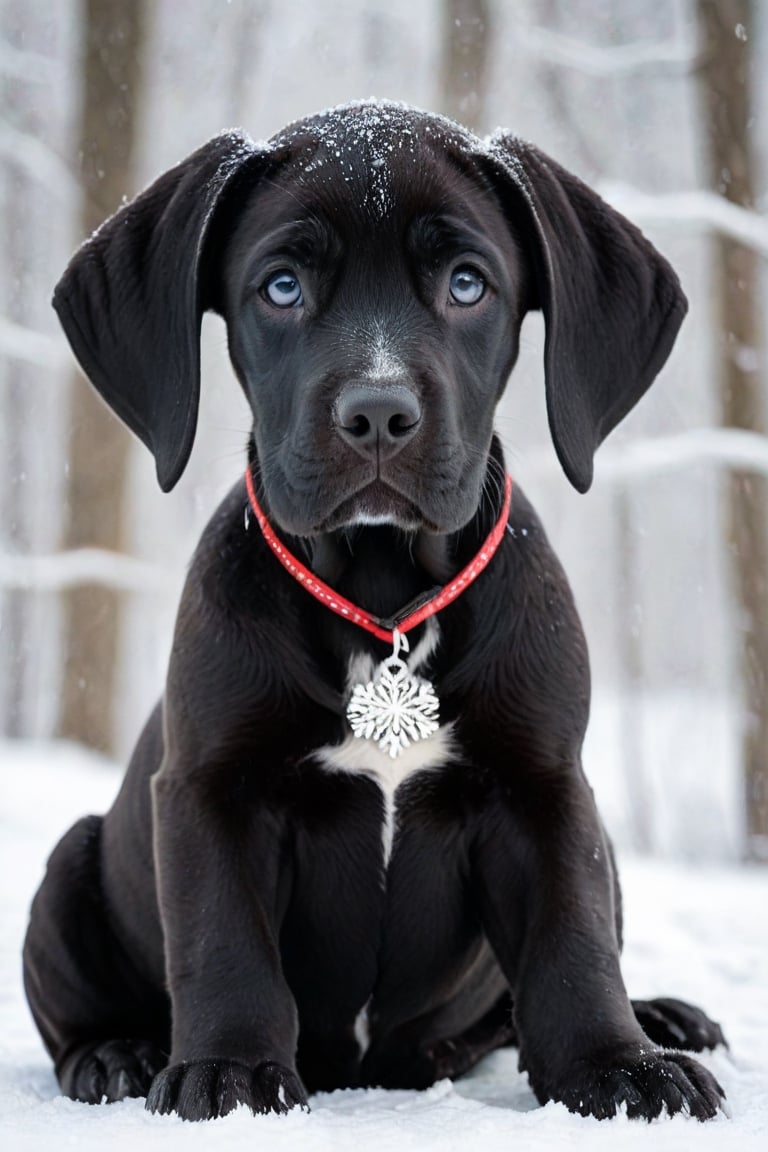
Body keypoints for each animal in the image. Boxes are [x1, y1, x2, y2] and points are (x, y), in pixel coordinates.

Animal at [22, 101, 727, 1124]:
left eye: (468, 285)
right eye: (280, 288)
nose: (380, 416)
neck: (383, 598)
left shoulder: (548, 789)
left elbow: (573, 940)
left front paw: (618, 1065)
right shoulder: (207, 788)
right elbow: (224, 943)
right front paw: (229, 1071)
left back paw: (662, 1017)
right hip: (70, 866)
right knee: (76, 1006)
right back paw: (118, 1053)